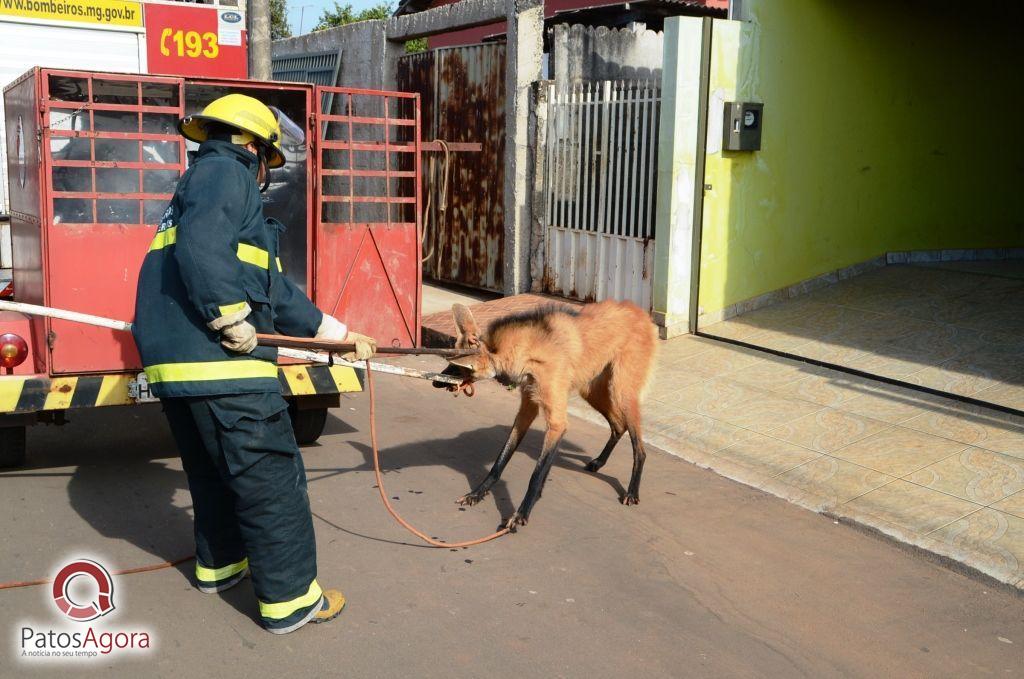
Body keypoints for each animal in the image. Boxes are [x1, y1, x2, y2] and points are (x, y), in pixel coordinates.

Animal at [432, 301, 655, 532]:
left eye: (457, 368)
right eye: (451, 364)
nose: (435, 382)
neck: (529, 354)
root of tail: (639, 310)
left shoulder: (557, 422)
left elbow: (536, 474)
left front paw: (521, 514)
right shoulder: (527, 409)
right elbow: (501, 460)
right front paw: (477, 493)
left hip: (621, 393)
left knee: (639, 448)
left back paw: (632, 491)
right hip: (591, 391)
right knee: (618, 426)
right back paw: (598, 462)